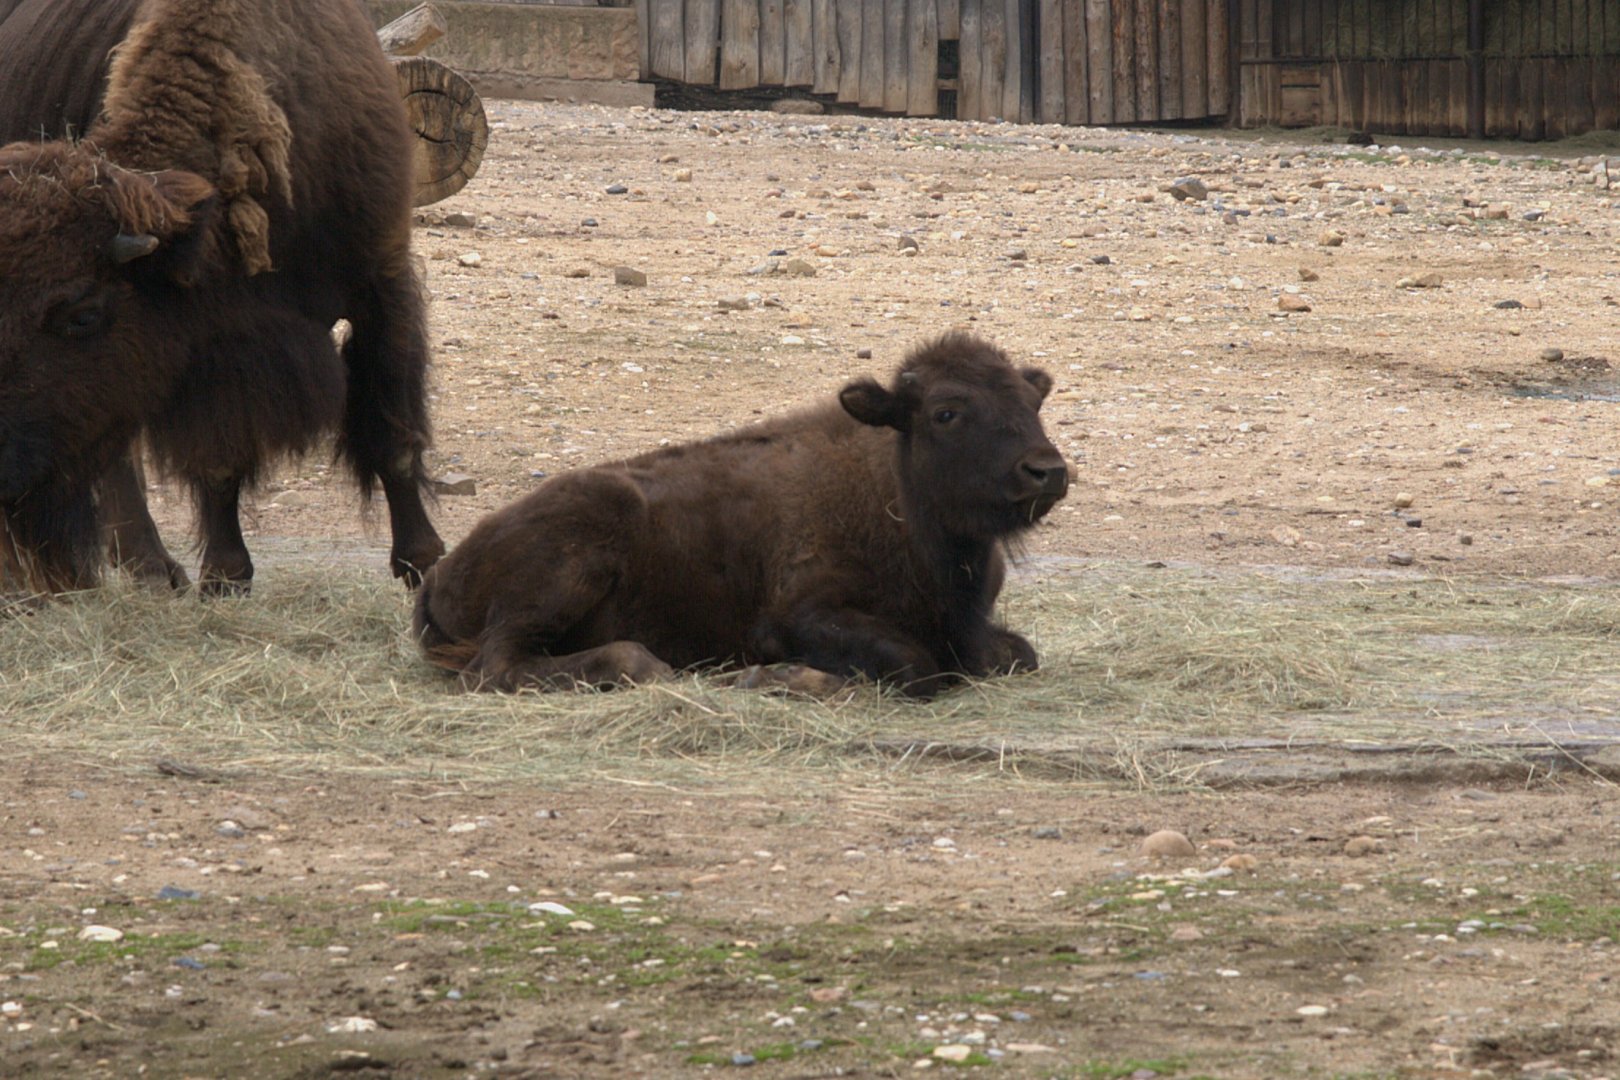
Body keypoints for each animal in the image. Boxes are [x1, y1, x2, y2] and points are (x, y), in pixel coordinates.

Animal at [0, 0, 443, 594]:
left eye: (83, 315)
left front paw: (423, 561)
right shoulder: (207, 352)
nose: (3, 468)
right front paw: (225, 576)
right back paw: (144, 570)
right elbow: (218, 459)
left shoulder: (382, 283)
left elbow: (393, 435)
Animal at [415, 333, 1069, 698]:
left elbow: (1015, 654)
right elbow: (917, 666)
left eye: (1032, 402)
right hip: (569, 564)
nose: (1047, 471)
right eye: (945, 412)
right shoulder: (795, 617)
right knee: (496, 667)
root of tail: (442, 572)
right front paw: (772, 679)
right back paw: (652, 667)